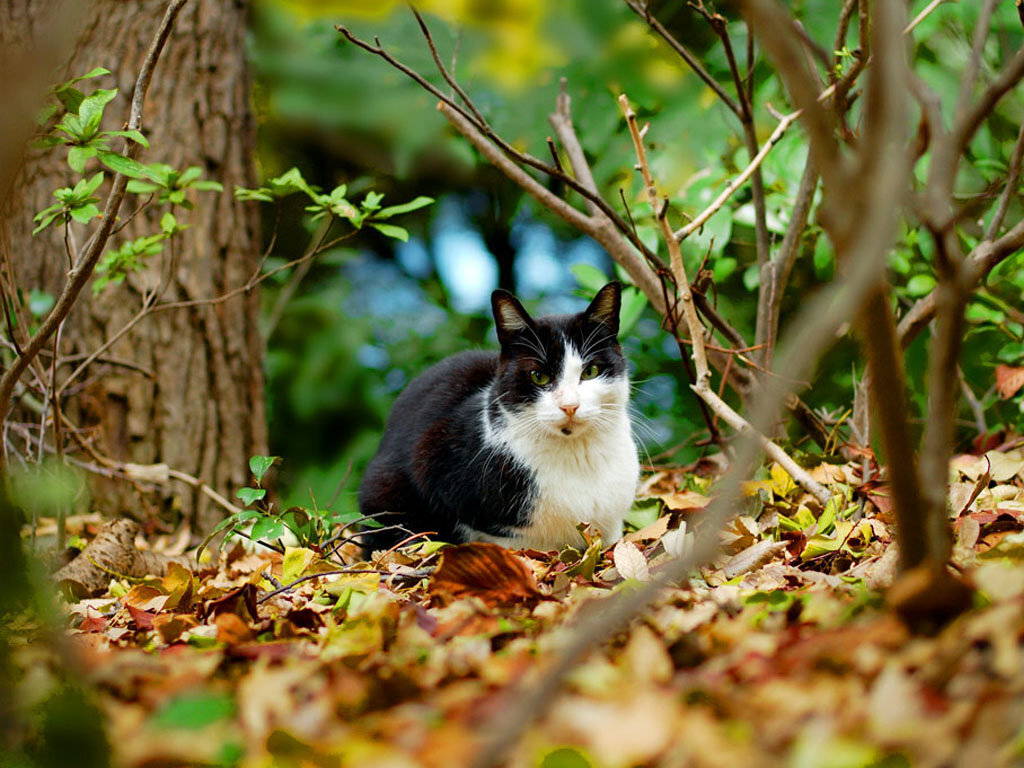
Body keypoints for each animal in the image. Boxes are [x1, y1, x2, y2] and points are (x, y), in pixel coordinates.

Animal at [356, 282, 634, 552]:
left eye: (591, 371)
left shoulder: (612, 524)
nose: (570, 406)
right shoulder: (431, 456)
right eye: (539, 376)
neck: (577, 454)